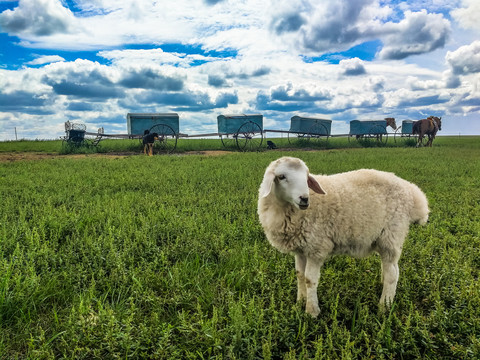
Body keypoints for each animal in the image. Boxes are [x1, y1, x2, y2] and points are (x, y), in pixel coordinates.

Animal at [256, 156, 430, 316]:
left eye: (306, 177)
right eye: (281, 176)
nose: (304, 199)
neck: (287, 211)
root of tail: (413, 192)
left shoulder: (316, 248)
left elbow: (309, 279)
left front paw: (311, 312)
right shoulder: (301, 249)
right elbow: (300, 275)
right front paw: (300, 303)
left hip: (392, 235)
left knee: (393, 273)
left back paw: (384, 306)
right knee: (388, 268)